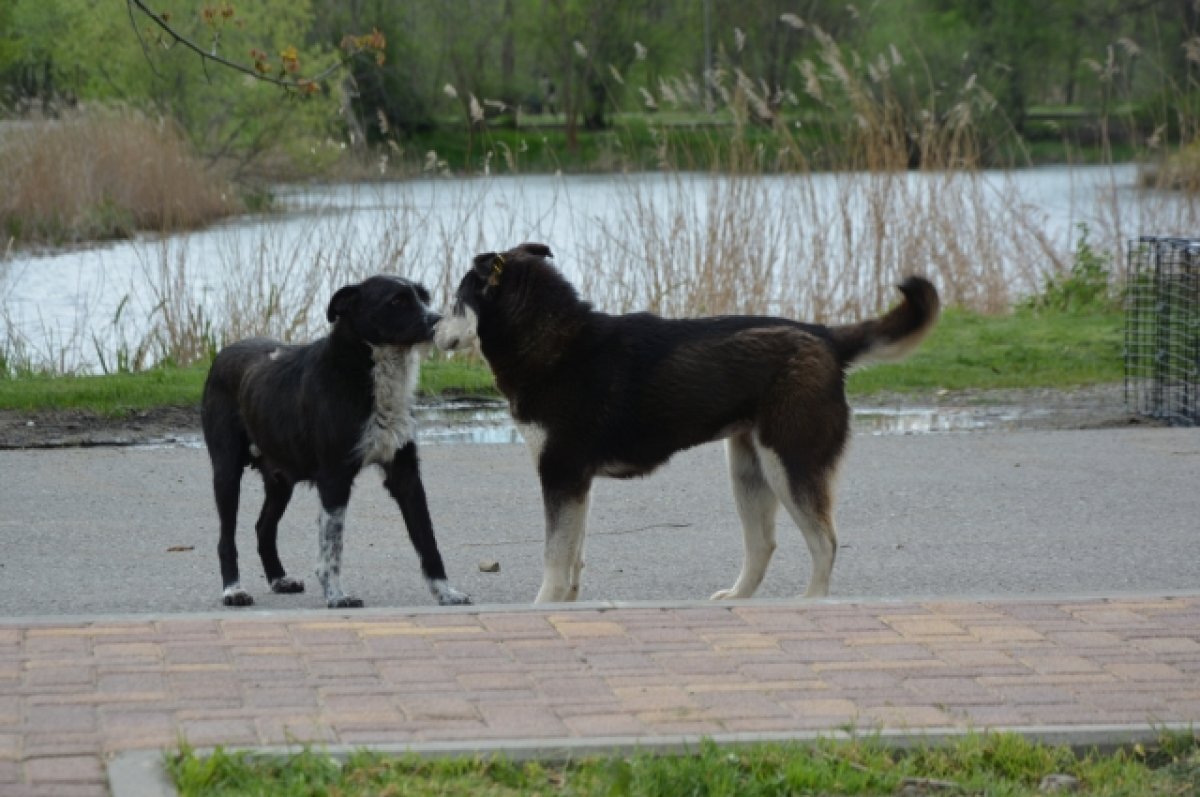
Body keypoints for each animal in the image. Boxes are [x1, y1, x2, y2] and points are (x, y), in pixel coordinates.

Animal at [201, 277, 468, 607]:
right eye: (396, 301)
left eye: (424, 297)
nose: (437, 321)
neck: (366, 372)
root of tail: (222, 354)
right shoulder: (334, 477)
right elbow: (332, 546)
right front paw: (337, 596)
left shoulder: (405, 474)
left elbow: (428, 540)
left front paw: (446, 592)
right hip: (226, 471)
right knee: (226, 537)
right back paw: (233, 590)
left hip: (280, 478)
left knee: (263, 527)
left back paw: (279, 579)